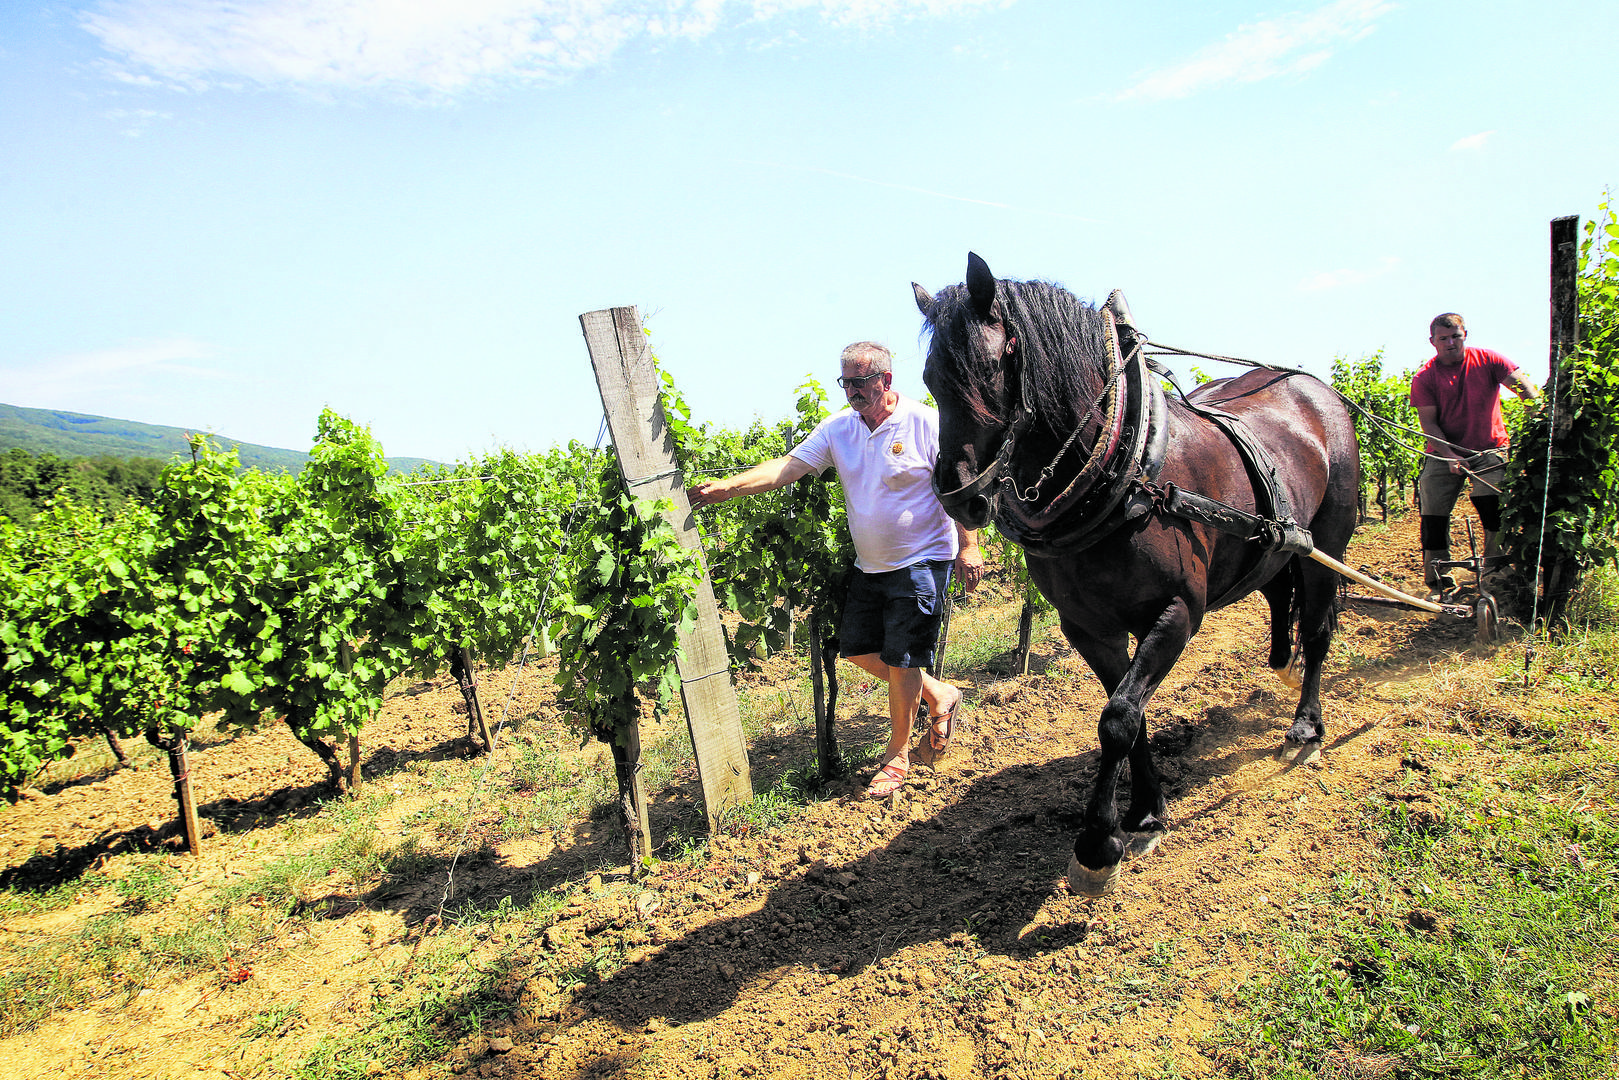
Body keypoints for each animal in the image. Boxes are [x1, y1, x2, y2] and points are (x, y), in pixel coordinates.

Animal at [913, 253, 1360, 895]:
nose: (960, 497)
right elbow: (1130, 712)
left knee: (1319, 629)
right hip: (1277, 541)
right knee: (1280, 592)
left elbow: (1119, 718)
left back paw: (1304, 728)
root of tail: (1315, 389)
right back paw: (1280, 667)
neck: (1120, 476)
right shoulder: (1086, 627)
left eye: (995, 363)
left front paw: (1098, 844)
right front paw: (1145, 811)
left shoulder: (1176, 612)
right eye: (929, 377)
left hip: (1326, 542)